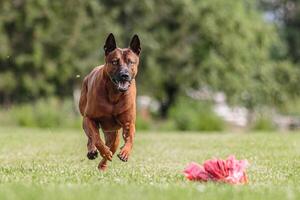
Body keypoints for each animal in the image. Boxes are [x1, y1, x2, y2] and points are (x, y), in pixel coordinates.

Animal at [79, 33, 141, 170]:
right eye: (115, 62)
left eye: (131, 62)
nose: (124, 75)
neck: (114, 94)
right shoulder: (89, 118)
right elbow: (96, 138)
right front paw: (103, 151)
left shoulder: (129, 122)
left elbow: (131, 136)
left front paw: (125, 152)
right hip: (85, 117)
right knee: (91, 137)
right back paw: (93, 151)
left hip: (114, 133)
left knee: (112, 145)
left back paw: (103, 165)